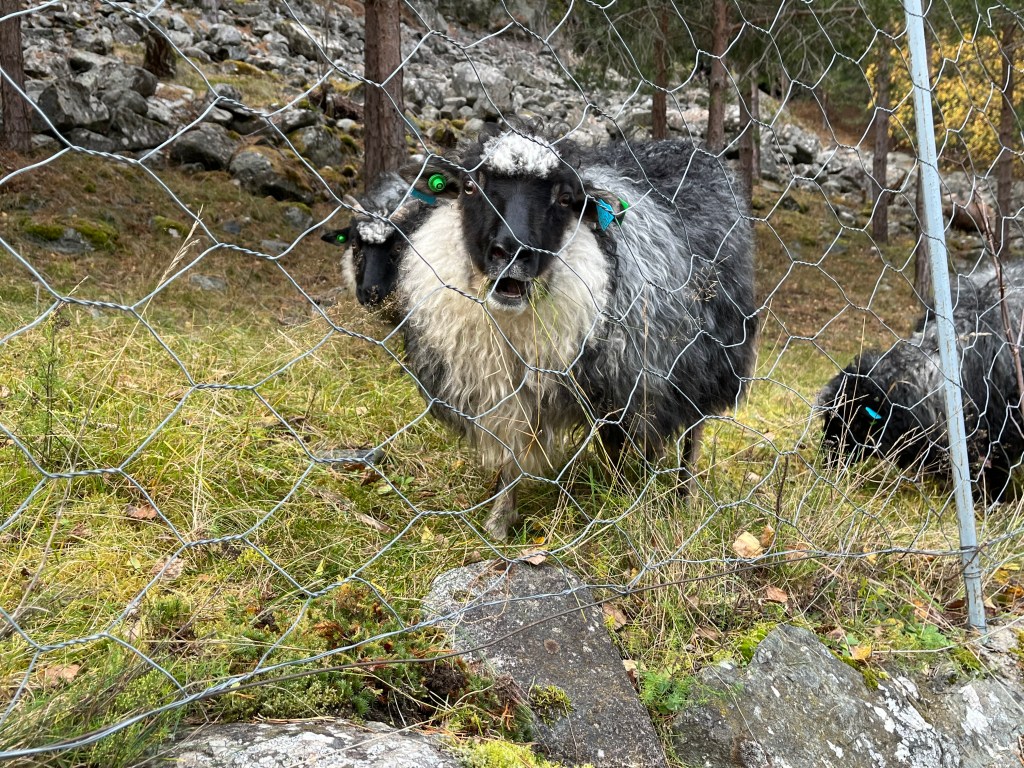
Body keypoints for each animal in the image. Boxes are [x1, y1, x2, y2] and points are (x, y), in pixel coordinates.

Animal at [395, 125, 758, 539]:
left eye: (566, 198)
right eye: (470, 187)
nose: (514, 250)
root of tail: (689, 146)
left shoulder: (621, 384)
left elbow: (617, 446)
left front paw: (620, 503)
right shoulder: (509, 389)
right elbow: (511, 451)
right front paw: (500, 521)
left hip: (707, 355)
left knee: (692, 430)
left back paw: (683, 494)